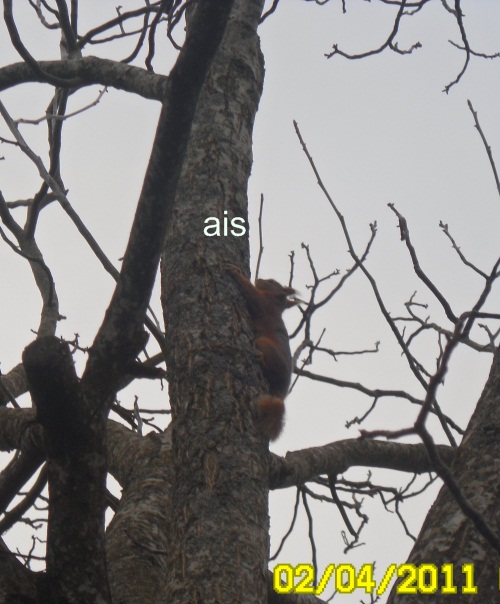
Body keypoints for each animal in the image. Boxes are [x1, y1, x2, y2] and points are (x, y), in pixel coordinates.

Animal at [228, 267, 300, 440]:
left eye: (272, 281)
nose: (259, 278)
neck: (276, 303)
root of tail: (280, 393)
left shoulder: (263, 303)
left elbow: (252, 294)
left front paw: (235, 272)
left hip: (265, 344)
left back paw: (260, 358)